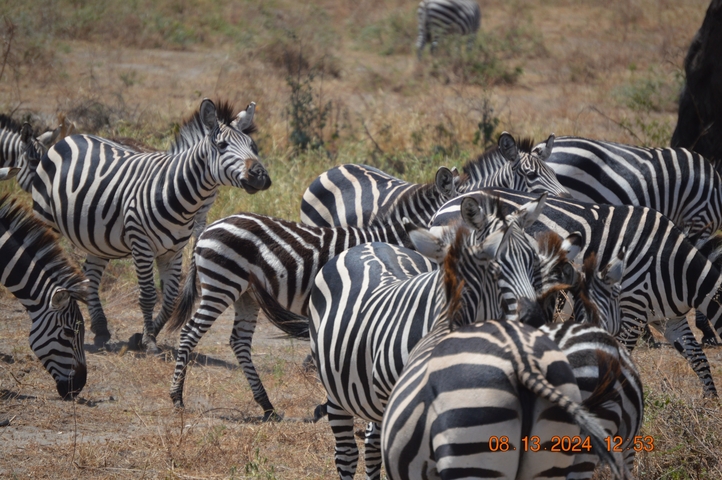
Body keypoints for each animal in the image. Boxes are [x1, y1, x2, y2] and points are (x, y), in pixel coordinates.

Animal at [31, 99, 271, 352]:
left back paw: (100, 328)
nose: (260, 176)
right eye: (223, 145)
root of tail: (69, 137)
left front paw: (146, 334)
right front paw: (149, 341)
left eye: (253, 146)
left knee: (92, 275)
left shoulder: (173, 251)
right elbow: (148, 295)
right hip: (45, 218)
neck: (174, 192)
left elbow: (170, 297)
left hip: (96, 237)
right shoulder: (141, 244)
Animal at [164, 168, 456, 421]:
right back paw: (177, 397)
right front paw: (329, 405)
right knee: (190, 333)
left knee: (239, 342)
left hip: (245, 294)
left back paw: (267, 406)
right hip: (222, 283)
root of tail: (209, 228)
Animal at [301, 194, 578, 479]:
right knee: (346, 453)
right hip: (336, 392)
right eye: (494, 266)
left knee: (371, 446)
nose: (533, 319)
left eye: (532, 260)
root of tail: (368, 244)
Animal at [432, 187, 722, 397]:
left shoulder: (669, 317)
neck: (677, 268)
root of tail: (443, 207)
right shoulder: (632, 308)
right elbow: (623, 357)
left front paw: (709, 403)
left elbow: (697, 358)